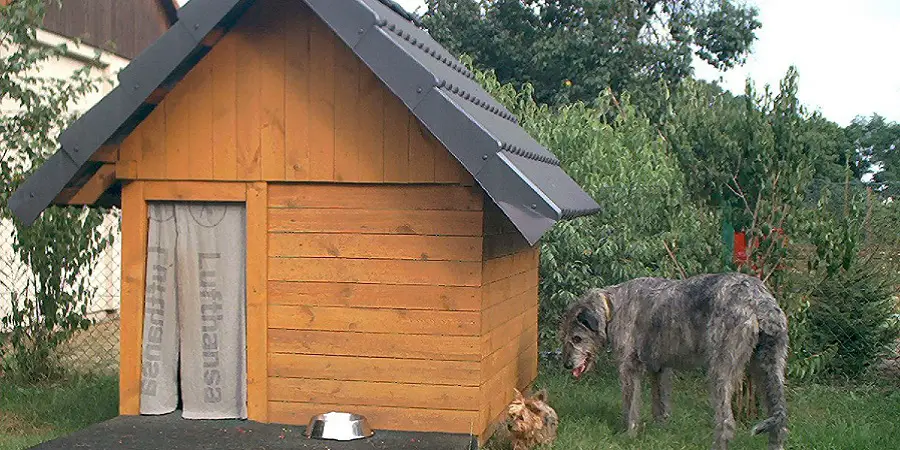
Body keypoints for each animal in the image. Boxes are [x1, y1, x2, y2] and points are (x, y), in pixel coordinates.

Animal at [564, 272, 788, 448]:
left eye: (577, 338)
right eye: (564, 336)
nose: (567, 364)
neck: (613, 306)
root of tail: (759, 300)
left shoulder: (629, 366)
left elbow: (631, 405)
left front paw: (627, 435)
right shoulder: (660, 368)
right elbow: (660, 404)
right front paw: (660, 432)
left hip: (721, 370)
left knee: (726, 422)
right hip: (769, 367)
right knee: (779, 422)